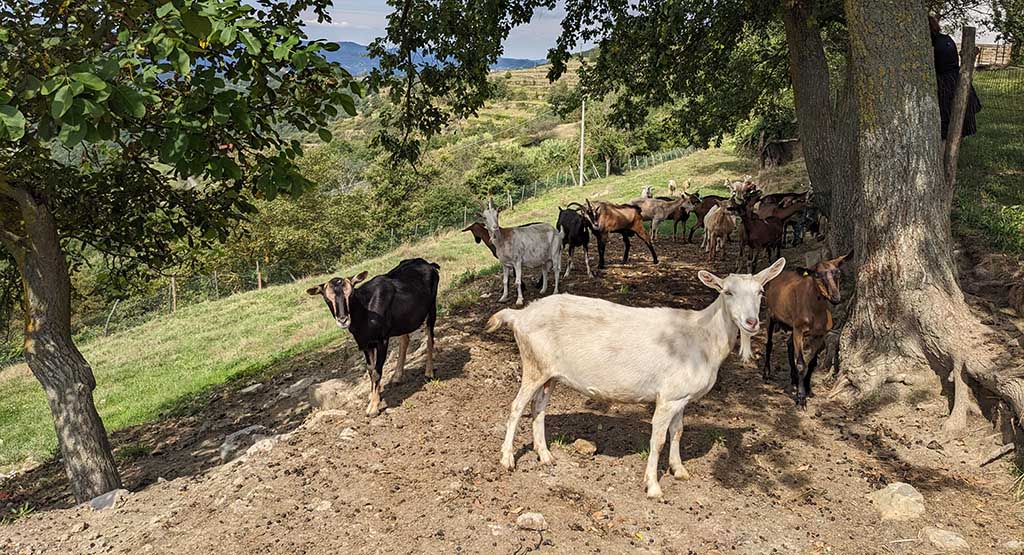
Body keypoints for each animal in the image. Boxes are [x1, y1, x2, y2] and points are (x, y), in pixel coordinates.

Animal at [307, 258, 444, 417]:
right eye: (327, 298)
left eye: (351, 294)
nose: (343, 319)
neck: (365, 313)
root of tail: (430, 265)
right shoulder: (365, 344)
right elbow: (370, 370)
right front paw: (374, 396)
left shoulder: (381, 340)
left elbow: (377, 372)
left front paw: (372, 408)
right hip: (403, 320)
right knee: (405, 339)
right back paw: (397, 377)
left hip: (432, 307)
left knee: (430, 337)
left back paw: (429, 372)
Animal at [487, 261, 782, 499]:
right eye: (727, 292)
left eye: (761, 292)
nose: (752, 322)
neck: (702, 336)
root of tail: (519, 315)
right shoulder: (668, 397)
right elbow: (658, 439)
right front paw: (653, 486)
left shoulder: (681, 396)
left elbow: (678, 431)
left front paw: (679, 470)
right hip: (533, 365)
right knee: (516, 407)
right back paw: (507, 459)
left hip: (550, 373)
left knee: (538, 408)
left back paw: (545, 456)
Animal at [765, 253, 851, 409]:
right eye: (817, 275)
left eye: (838, 272)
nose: (836, 298)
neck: (815, 311)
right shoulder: (799, 331)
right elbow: (801, 364)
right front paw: (801, 399)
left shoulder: (819, 334)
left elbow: (812, 363)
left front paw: (808, 388)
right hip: (770, 315)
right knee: (769, 344)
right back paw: (766, 373)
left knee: (789, 344)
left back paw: (793, 379)